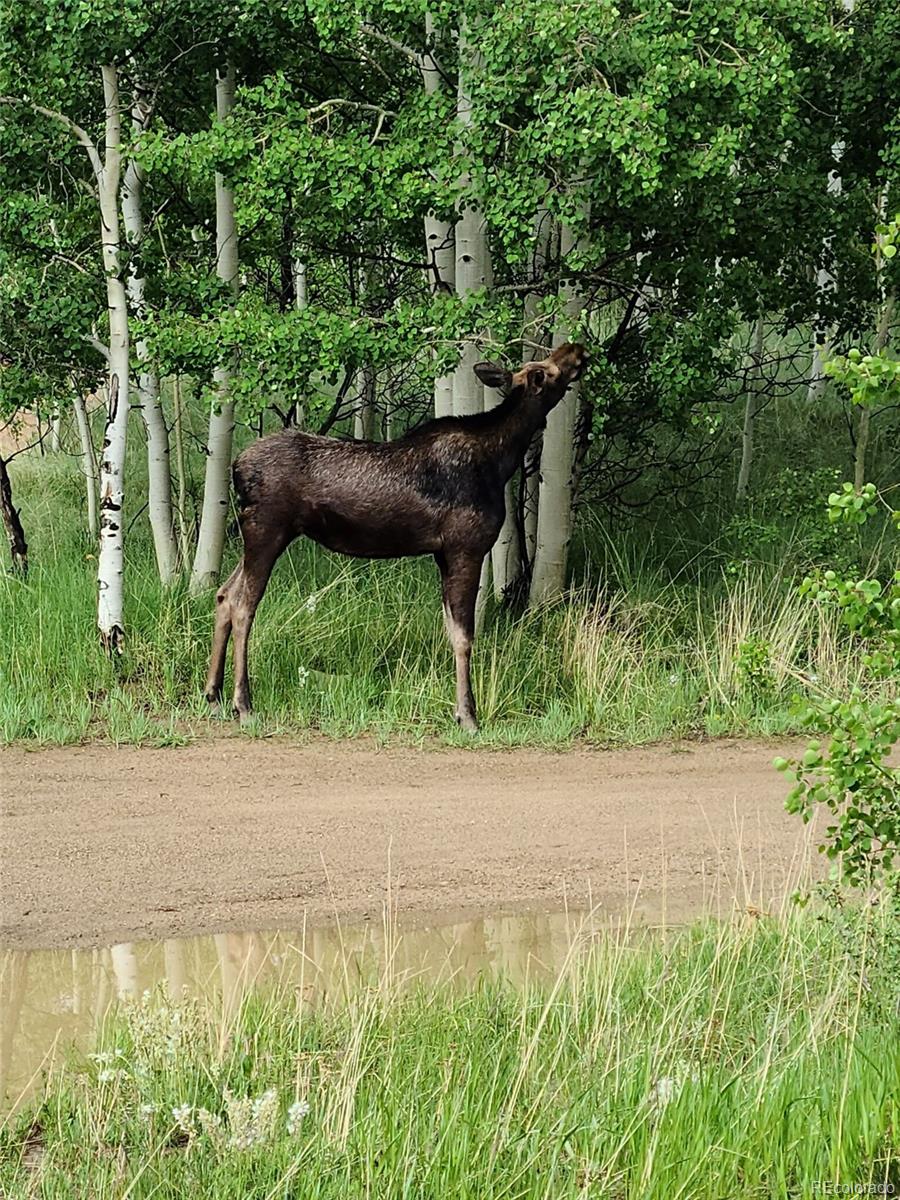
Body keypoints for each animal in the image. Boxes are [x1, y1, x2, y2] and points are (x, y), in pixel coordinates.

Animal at [207, 340, 595, 729]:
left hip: (260, 535)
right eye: (541, 372)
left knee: (224, 594)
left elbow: (449, 629)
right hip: (267, 529)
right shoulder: (465, 546)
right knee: (243, 604)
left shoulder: (442, 554)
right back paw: (243, 703)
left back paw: (213, 694)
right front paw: (468, 715)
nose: (575, 348)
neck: (501, 461)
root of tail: (236, 467)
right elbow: (464, 636)